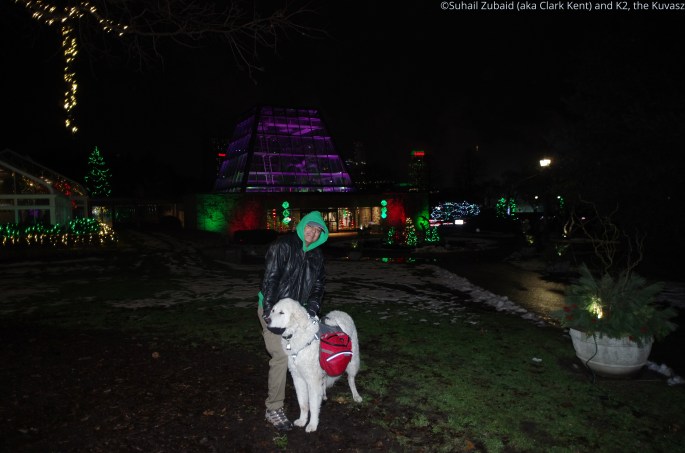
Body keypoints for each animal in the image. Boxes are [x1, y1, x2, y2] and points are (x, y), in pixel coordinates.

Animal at [266, 298, 362, 432]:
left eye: (281, 313)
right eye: (273, 310)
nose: (266, 319)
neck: (296, 334)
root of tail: (341, 312)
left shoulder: (312, 380)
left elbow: (312, 405)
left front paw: (312, 424)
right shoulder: (298, 378)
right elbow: (303, 404)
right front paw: (302, 421)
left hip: (352, 363)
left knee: (351, 380)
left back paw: (356, 396)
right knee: (325, 381)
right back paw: (324, 396)